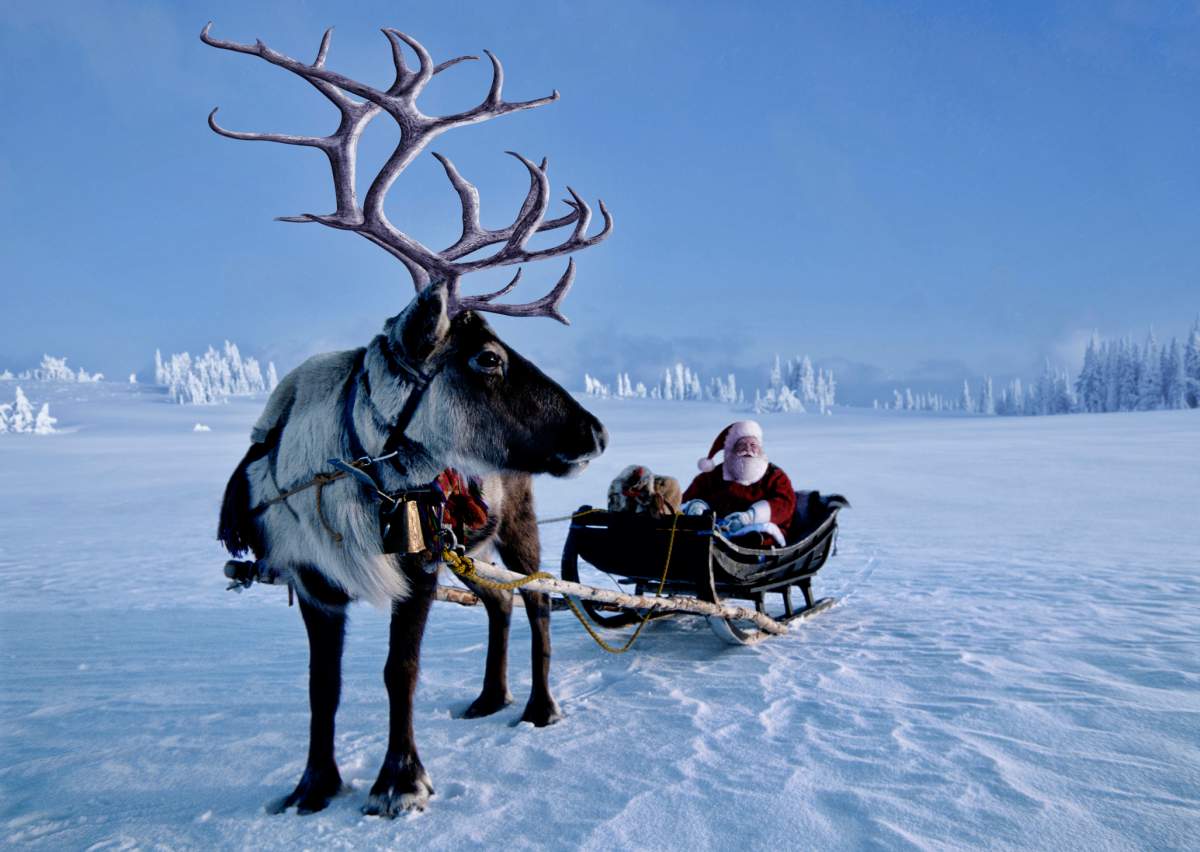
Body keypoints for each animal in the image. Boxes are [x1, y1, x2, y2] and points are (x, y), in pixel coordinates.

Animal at [202, 22, 612, 817]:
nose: (597, 433)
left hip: (517, 523)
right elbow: (322, 687)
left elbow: (402, 670)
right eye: (487, 358)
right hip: (471, 548)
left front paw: (402, 781)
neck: (341, 476)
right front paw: (313, 785)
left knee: (538, 599)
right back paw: (489, 698)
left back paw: (539, 707)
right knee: (499, 605)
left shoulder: (418, 567)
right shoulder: (313, 583)